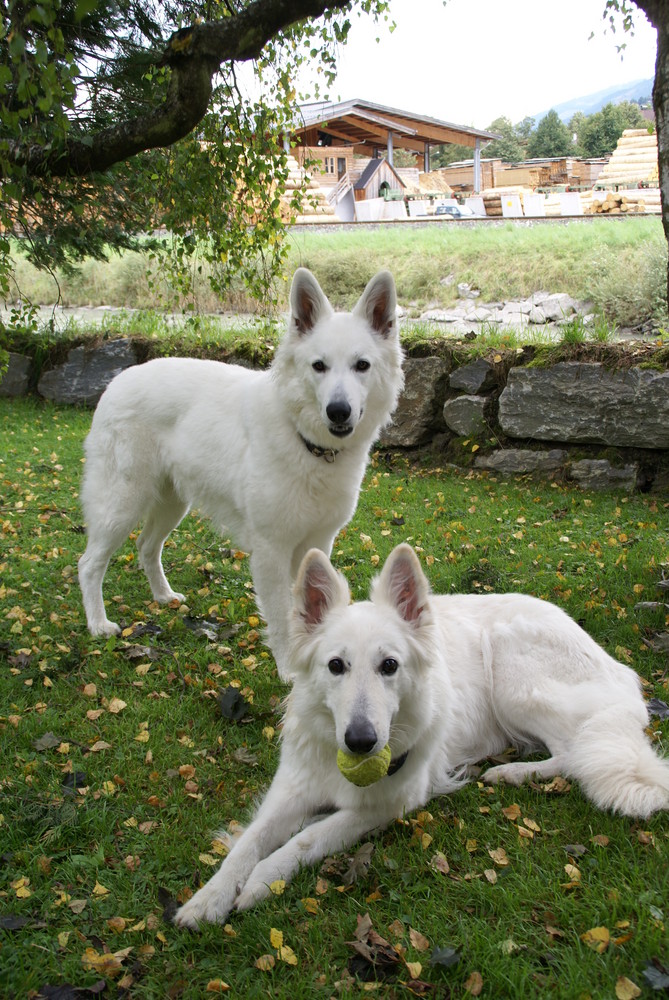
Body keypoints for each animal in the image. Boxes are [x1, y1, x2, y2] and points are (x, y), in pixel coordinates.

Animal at [78, 268, 402, 680]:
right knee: (90, 563)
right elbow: (280, 617)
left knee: (147, 547)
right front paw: (289, 670)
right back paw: (97, 624)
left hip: (172, 505)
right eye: (319, 366)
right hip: (122, 505)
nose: (338, 411)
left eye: (362, 365)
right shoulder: (270, 552)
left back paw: (164, 596)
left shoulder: (316, 544)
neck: (306, 443)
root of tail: (118, 380)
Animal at [174, 544, 668, 924]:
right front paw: (208, 898)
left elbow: (306, 839)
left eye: (389, 665)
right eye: (335, 666)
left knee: (572, 751)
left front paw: (262, 880)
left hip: (511, 672)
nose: (360, 742)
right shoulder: (290, 790)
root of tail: (621, 671)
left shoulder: (385, 805)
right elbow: (248, 843)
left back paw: (511, 773)